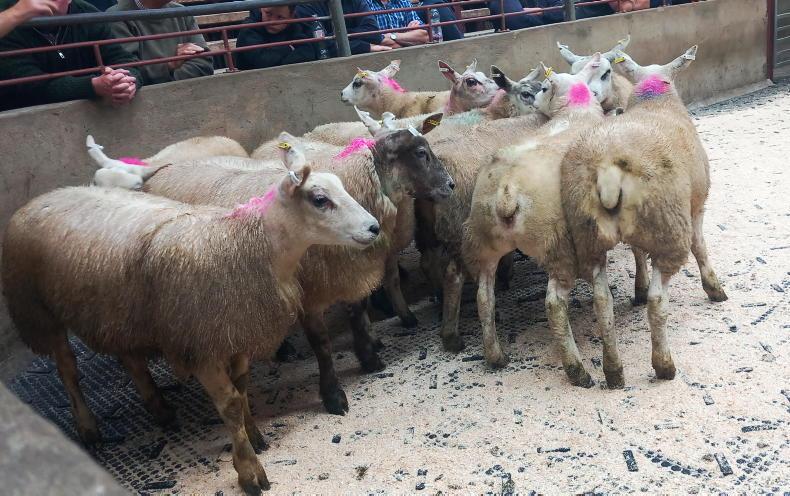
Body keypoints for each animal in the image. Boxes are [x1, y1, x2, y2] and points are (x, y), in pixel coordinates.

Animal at [2, 164, 379, 495]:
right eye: (319, 199)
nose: (375, 228)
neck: (248, 244)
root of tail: (37, 199)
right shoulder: (201, 345)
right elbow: (229, 403)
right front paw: (249, 470)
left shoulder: (237, 333)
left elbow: (242, 388)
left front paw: (254, 435)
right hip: (38, 309)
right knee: (68, 369)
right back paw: (88, 427)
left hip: (120, 312)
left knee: (131, 360)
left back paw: (160, 408)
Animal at [141, 114, 453, 415]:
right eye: (421, 153)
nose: (451, 185)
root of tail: (163, 168)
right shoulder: (309, 291)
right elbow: (321, 344)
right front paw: (333, 396)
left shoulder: (349, 271)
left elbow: (357, 314)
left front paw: (369, 357)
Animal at [462, 59, 607, 372]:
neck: (575, 113)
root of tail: (506, 192)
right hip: (556, 242)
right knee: (554, 303)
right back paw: (577, 370)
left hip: (482, 240)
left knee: (484, 298)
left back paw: (496, 356)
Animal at [557, 46, 728, 389]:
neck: (655, 98)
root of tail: (607, 167)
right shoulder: (695, 207)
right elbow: (700, 247)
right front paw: (714, 288)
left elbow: (636, 252)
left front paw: (638, 285)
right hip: (668, 225)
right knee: (657, 301)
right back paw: (664, 366)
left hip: (588, 237)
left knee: (602, 303)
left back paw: (613, 371)